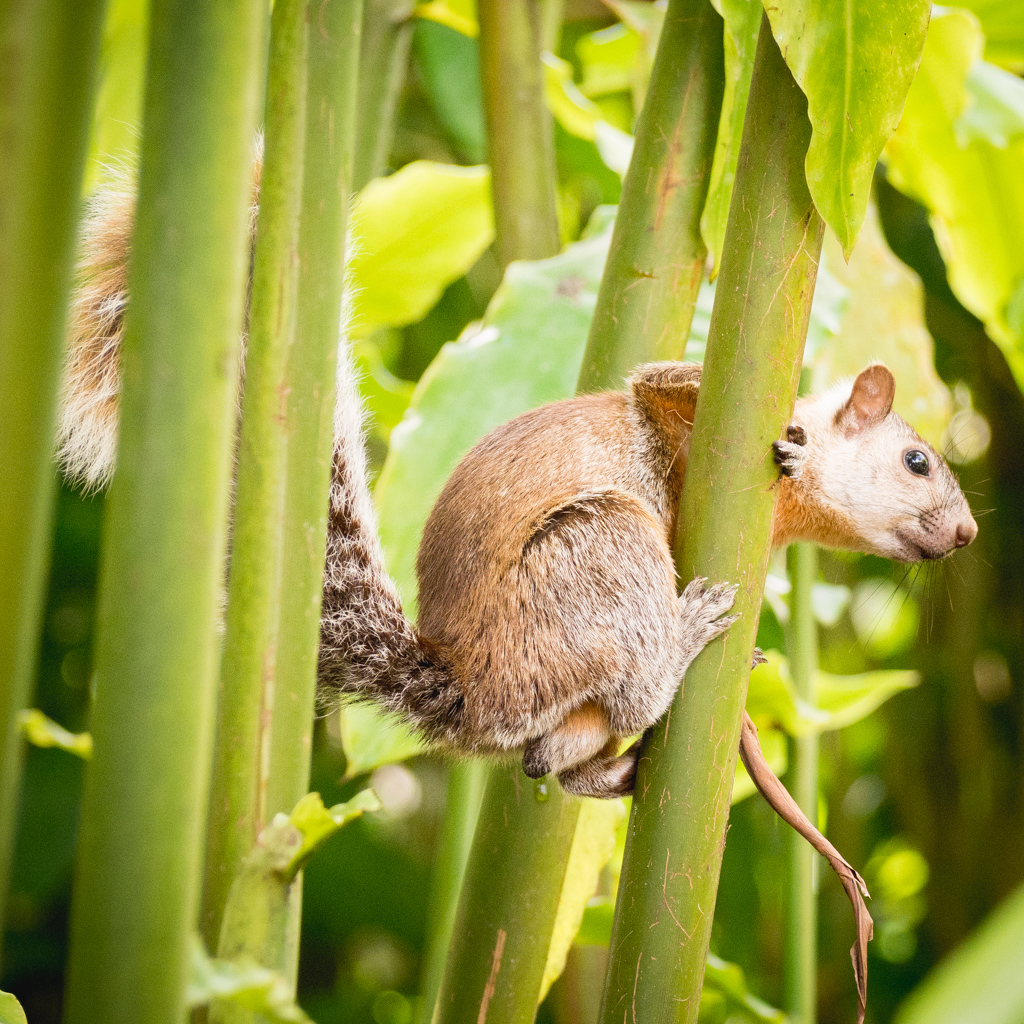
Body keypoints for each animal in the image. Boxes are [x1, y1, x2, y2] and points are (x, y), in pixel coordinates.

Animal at [59, 165, 978, 798]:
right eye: (918, 461)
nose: (967, 533)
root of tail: (472, 690)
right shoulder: (680, 400)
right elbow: (664, 386)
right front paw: (789, 441)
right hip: (599, 551)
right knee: (630, 697)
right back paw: (684, 637)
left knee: (548, 761)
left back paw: (605, 772)